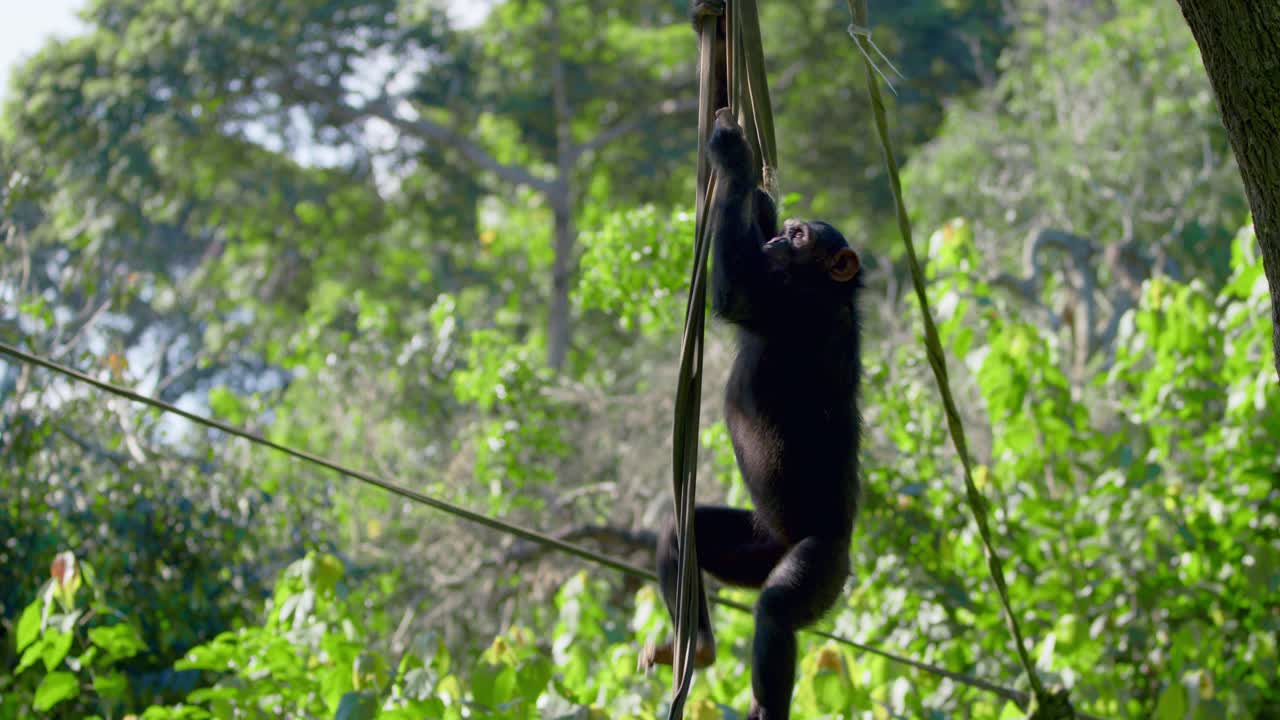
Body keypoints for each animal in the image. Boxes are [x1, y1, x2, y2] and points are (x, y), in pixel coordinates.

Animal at [640, 101, 864, 720]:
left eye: (801, 236)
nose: (780, 240)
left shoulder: (786, 303)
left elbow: (735, 291)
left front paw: (732, 154)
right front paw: (758, 194)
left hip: (820, 565)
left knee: (778, 610)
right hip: (756, 545)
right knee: (681, 532)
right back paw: (697, 646)